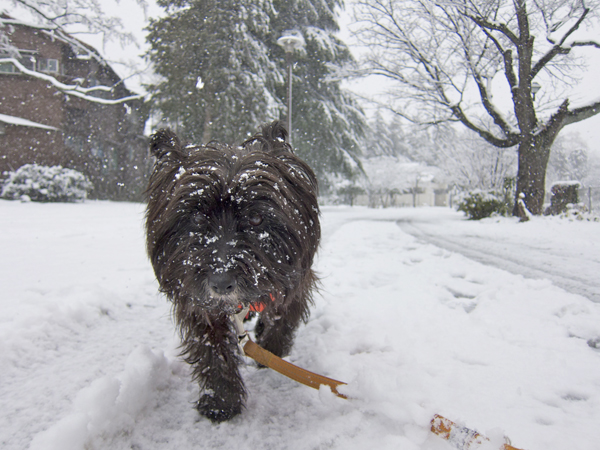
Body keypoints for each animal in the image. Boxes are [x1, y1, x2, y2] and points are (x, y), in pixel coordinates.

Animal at [145, 120, 322, 422]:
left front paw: (271, 352)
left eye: (256, 217)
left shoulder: (294, 283)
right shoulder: (197, 302)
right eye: (196, 216)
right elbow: (212, 347)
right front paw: (221, 401)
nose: (221, 283)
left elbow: (282, 317)